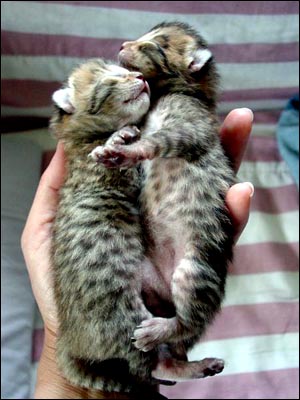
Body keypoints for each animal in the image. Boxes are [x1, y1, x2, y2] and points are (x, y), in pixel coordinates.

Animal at [49, 57, 223, 394]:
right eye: (111, 80)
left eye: (126, 71)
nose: (140, 77)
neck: (81, 139)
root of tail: (68, 340)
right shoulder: (111, 175)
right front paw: (119, 138)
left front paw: (122, 137)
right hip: (125, 315)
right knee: (154, 364)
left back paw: (200, 364)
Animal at [92, 21, 236, 376]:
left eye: (153, 46)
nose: (123, 44)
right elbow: (131, 132)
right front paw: (113, 144)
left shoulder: (188, 127)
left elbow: (156, 141)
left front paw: (127, 152)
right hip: (141, 273)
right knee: (173, 359)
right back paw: (201, 365)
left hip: (194, 271)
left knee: (187, 322)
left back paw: (159, 330)